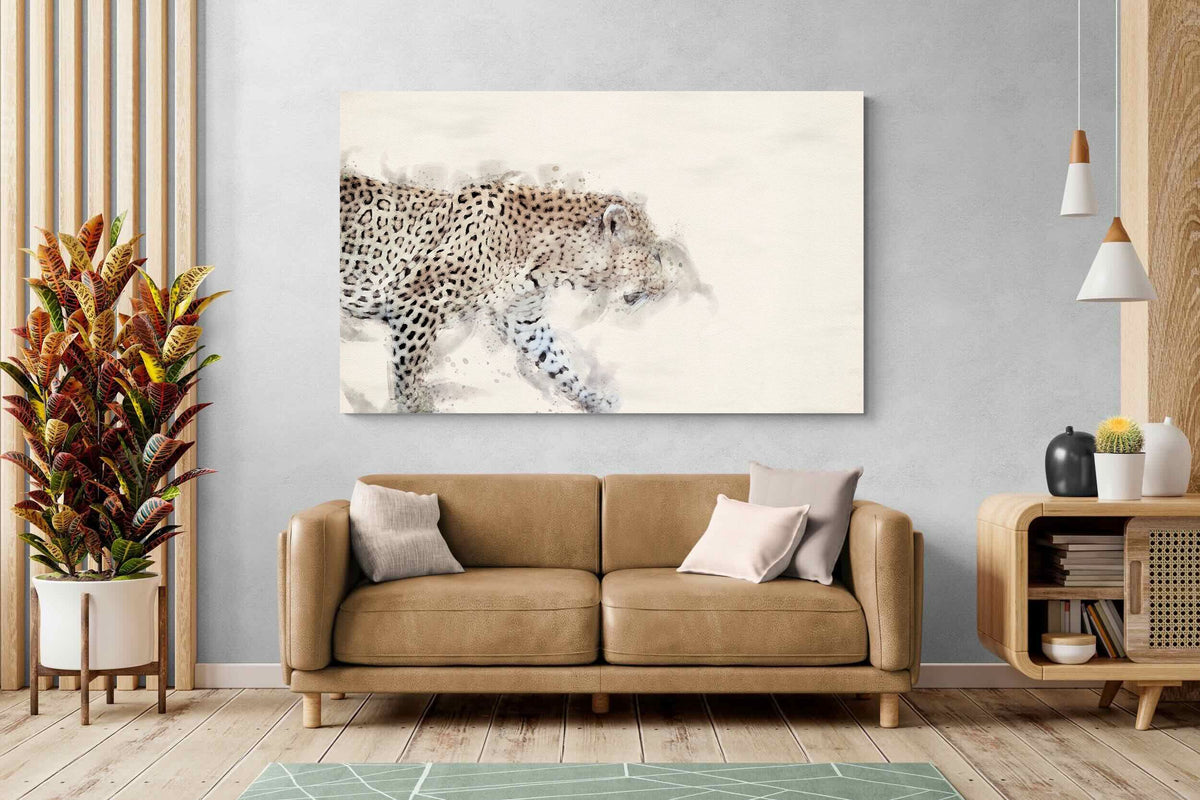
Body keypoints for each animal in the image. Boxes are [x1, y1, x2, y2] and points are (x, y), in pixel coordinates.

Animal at [339, 169, 690, 412]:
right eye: (655, 256)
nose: (666, 286)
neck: (550, 261)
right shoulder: (416, 299)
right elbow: (408, 370)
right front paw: (416, 407)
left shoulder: (524, 317)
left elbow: (557, 360)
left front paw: (592, 399)